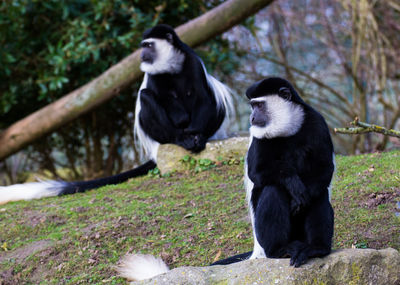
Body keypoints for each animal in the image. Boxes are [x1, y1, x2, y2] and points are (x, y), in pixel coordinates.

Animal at [0, 23, 233, 202]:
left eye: (148, 45)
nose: (142, 55)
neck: (171, 65)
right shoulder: (153, 72)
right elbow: (159, 96)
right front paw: (185, 130)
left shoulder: (191, 60)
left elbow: (203, 97)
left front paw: (197, 137)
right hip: (160, 134)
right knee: (147, 97)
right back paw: (180, 139)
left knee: (211, 100)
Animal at [116, 76, 334, 280]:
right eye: (252, 106)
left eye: (259, 105)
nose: (252, 117)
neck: (289, 127)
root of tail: (258, 250)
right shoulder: (259, 134)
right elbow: (258, 170)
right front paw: (294, 185)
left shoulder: (317, 122)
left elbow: (324, 168)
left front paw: (301, 196)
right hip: (265, 237)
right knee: (274, 190)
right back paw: (281, 249)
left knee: (318, 193)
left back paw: (316, 248)